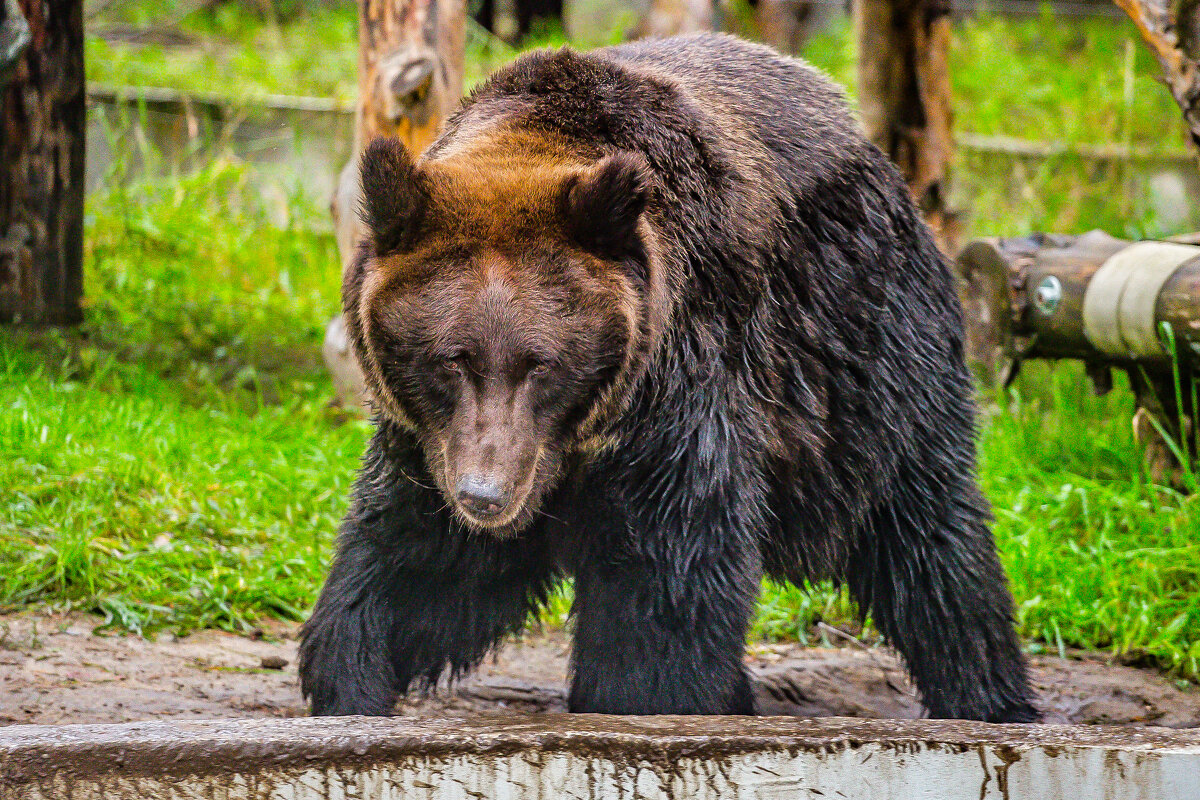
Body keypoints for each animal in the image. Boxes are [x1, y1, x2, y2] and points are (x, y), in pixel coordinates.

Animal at [295, 31, 1036, 724]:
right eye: (451, 359)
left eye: (542, 364)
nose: (485, 495)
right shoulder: (432, 440)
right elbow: (415, 556)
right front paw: (351, 672)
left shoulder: (683, 387)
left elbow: (668, 576)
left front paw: (641, 697)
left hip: (865, 346)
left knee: (928, 530)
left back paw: (988, 694)